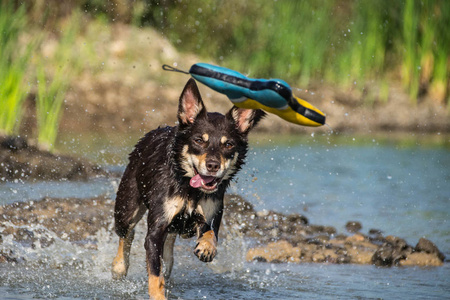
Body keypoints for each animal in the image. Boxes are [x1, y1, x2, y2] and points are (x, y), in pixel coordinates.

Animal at [111, 78, 264, 298]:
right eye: (199, 140)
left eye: (228, 145)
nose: (213, 165)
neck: (189, 188)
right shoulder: (156, 230)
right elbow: (155, 275)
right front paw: (158, 295)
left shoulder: (210, 213)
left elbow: (211, 232)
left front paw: (207, 248)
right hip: (127, 207)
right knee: (127, 234)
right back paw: (119, 266)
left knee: (168, 252)